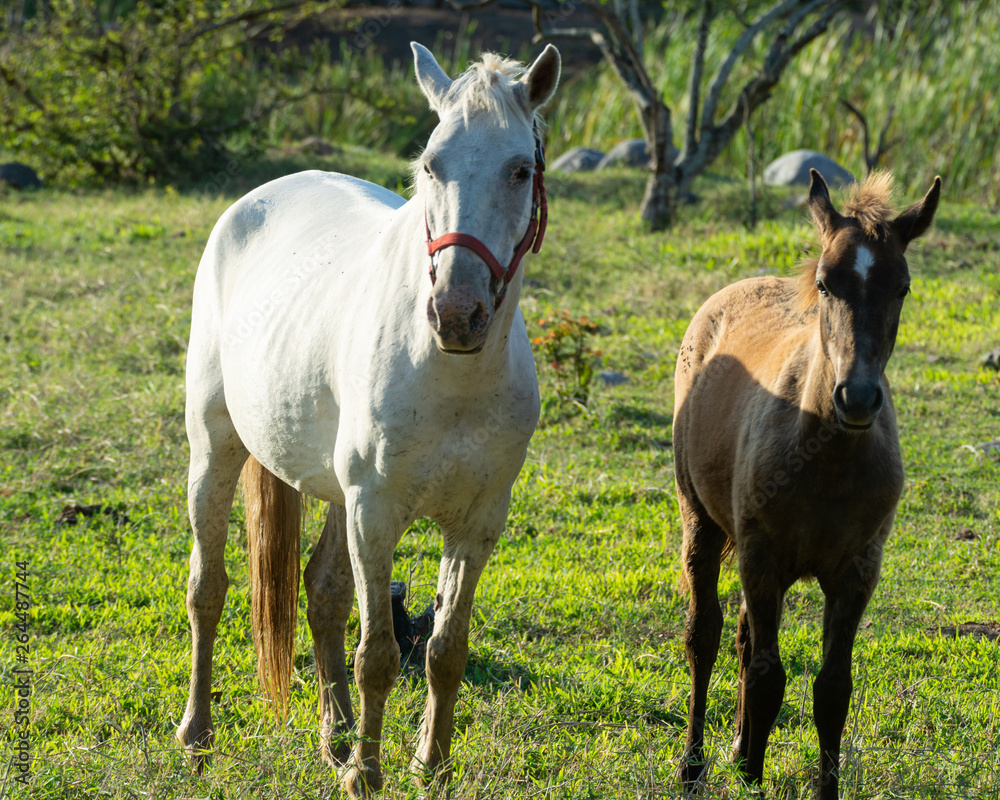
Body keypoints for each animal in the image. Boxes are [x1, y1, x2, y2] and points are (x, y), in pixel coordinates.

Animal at [176, 43, 560, 800]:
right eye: (431, 164)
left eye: (520, 169)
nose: (457, 314)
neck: (450, 375)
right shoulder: (375, 513)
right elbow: (378, 654)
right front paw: (367, 775)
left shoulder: (476, 523)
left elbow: (445, 649)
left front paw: (428, 764)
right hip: (215, 449)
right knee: (208, 590)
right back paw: (199, 735)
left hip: (331, 490)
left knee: (322, 593)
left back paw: (336, 736)